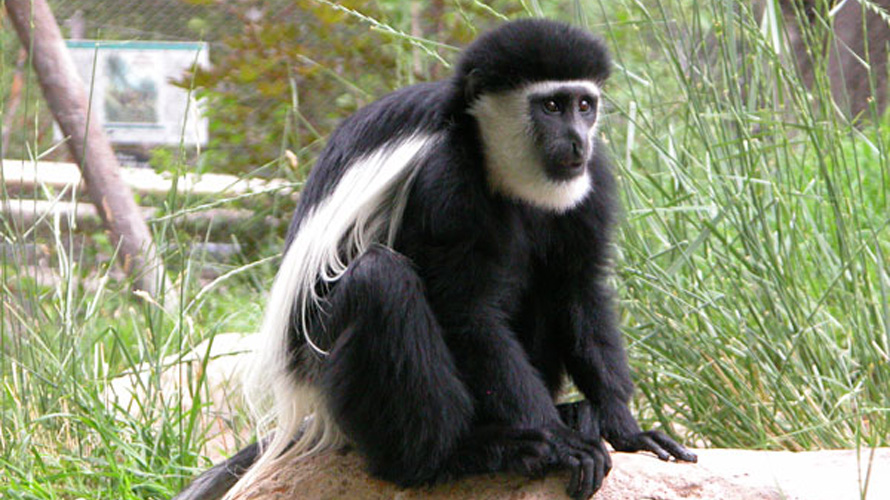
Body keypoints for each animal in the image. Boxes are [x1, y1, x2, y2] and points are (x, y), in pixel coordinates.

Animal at [175, 17, 692, 500]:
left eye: (584, 105)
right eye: (550, 106)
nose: (577, 140)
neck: (486, 151)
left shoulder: (591, 179)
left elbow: (577, 287)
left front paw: (624, 428)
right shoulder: (447, 181)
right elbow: (467, 311)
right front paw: (562, 443)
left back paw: (570, 412)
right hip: (325, 370)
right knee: (380, 283)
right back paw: (466, 452)